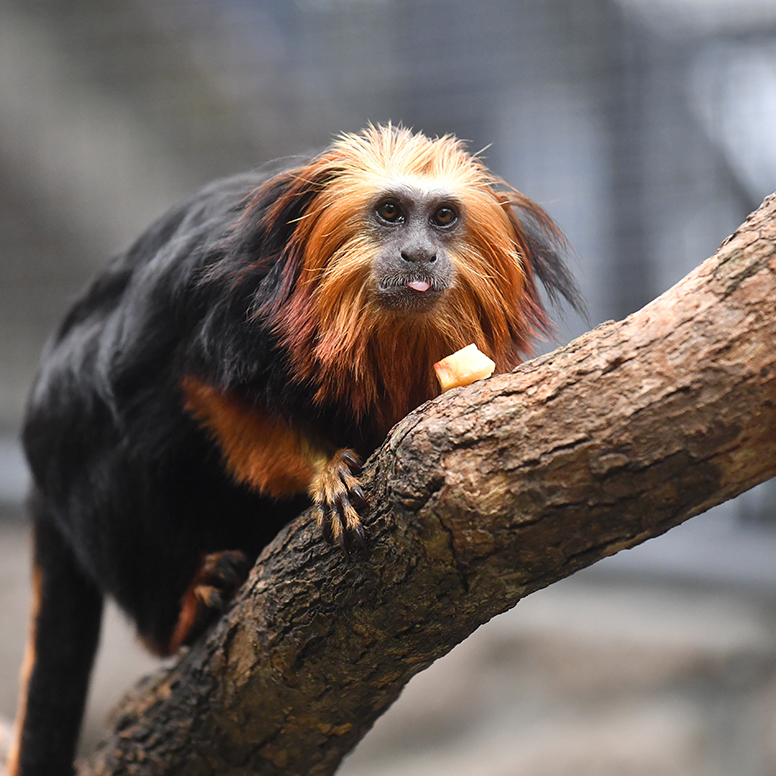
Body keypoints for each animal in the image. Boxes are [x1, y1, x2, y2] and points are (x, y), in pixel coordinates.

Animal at [9, 124, 584, 772]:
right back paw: (185, 608)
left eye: (442, 217)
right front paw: (325, 471)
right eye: (390, 213)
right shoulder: (221, 297)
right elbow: (204, 389)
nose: (418, 255)